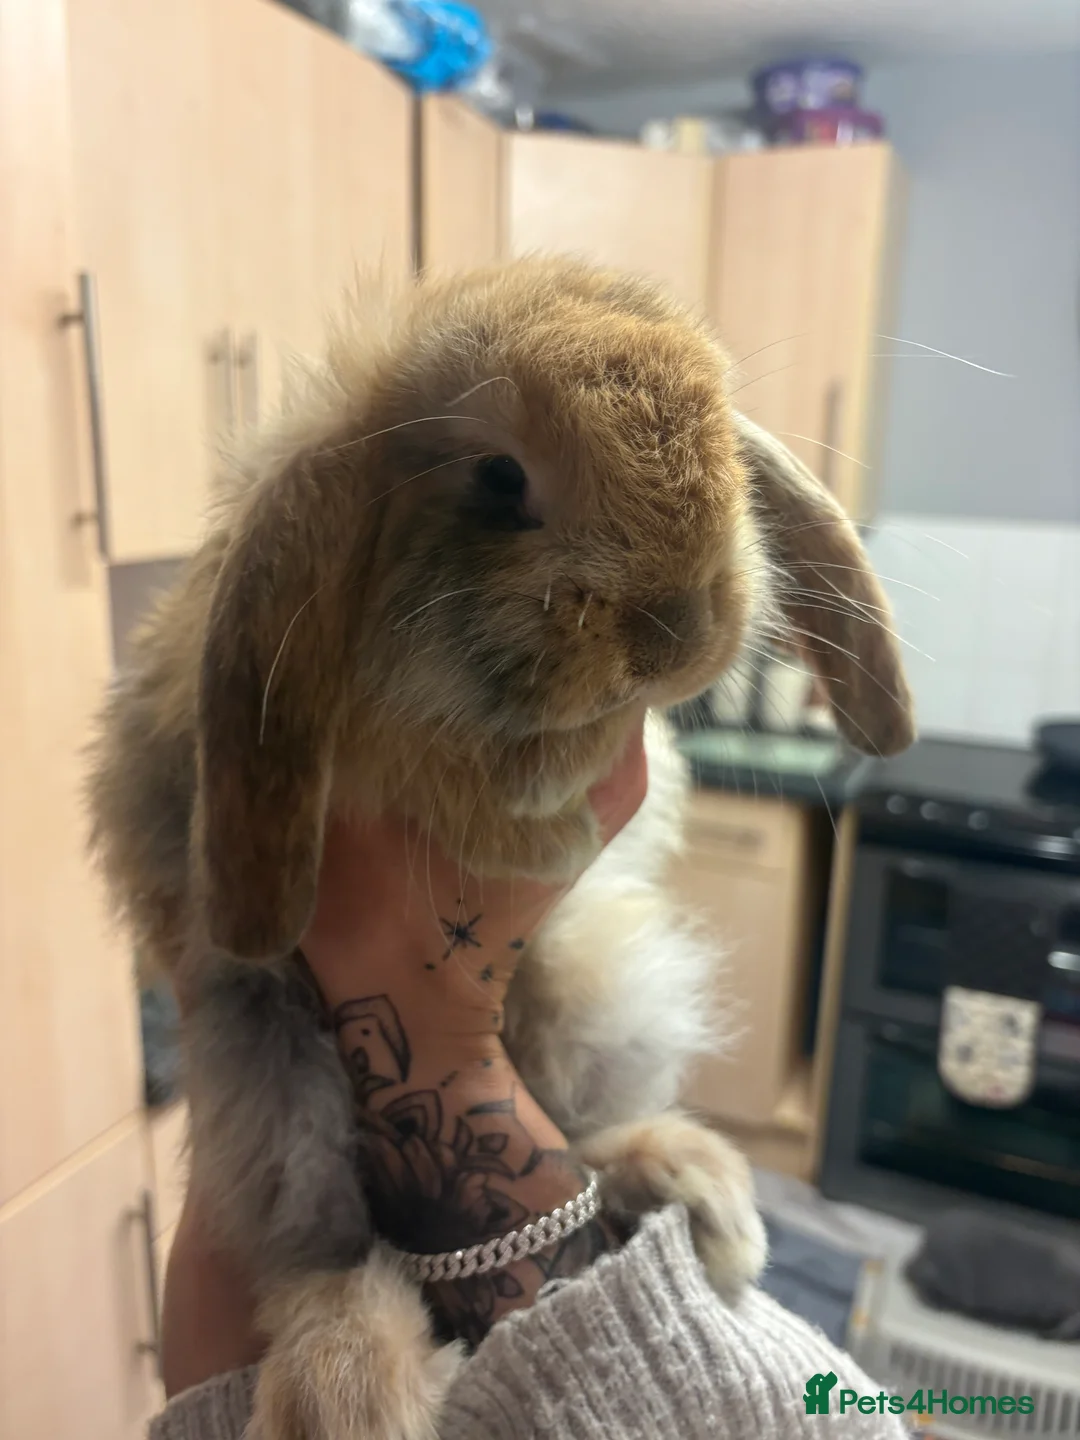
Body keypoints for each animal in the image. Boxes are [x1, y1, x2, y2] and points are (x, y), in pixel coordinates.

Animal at [87, 256, 914, 1440]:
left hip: (586, 995)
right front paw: (549, 804)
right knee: (316, 1251)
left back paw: (694, 1192)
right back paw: (351, 1387)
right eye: (498, 477)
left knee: (576, 1131)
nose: (682, 632)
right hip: (269, 1070)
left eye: (724, 447)